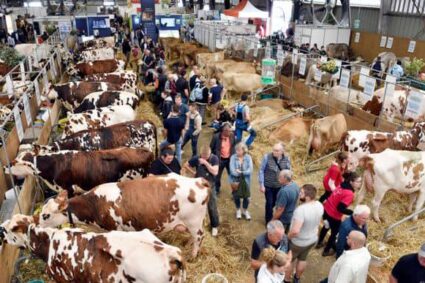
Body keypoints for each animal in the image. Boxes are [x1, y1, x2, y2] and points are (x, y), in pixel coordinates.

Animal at [39, 174, 210, 258]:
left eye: (46, 215)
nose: (37, 226)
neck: (94, 204)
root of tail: (198, 180)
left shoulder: (114, 228)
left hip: (194, 222)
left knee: (200, 237)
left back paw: (193, 255)